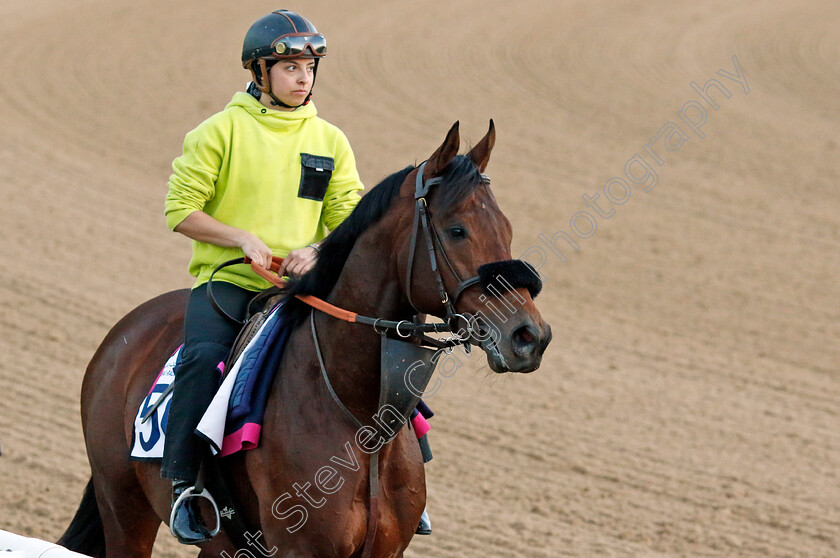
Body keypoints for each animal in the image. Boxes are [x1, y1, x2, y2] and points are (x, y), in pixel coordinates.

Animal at [57, 120, 552, 556]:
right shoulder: (300, 548)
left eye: (507, 229)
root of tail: (126, 330)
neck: (363, 425)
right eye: (457, 230)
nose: (530, 336)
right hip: (124, 509)